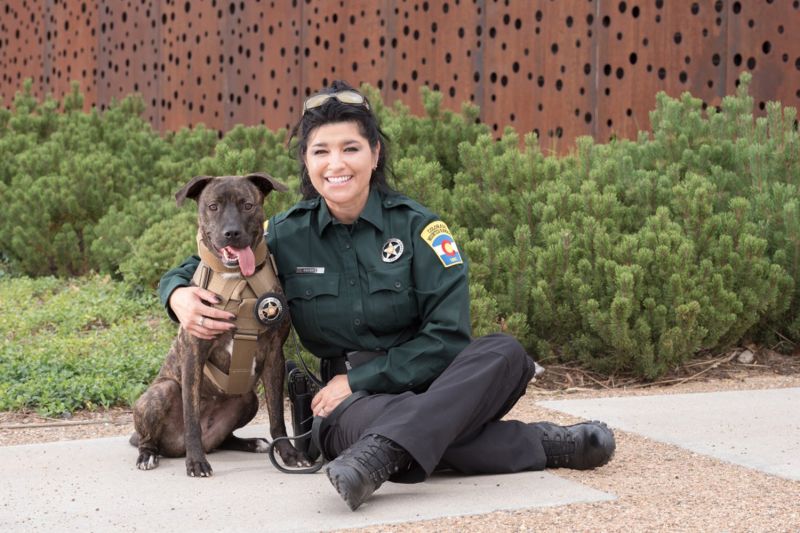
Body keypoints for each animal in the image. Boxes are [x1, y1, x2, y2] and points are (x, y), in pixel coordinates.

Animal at [130, 172, 308, 476]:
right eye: (213, 206)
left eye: (247, 205)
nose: (232, 233)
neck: (237, 280)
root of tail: (173, 447)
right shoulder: (194, 352)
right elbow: (191, 417)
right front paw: (196, 462)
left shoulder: (274, 356)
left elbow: (277, 418)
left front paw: (288, 454)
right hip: (161, 392)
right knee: (150, 437)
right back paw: (148, 454)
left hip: (248, 399)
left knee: (225, 438)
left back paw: (251, 443)